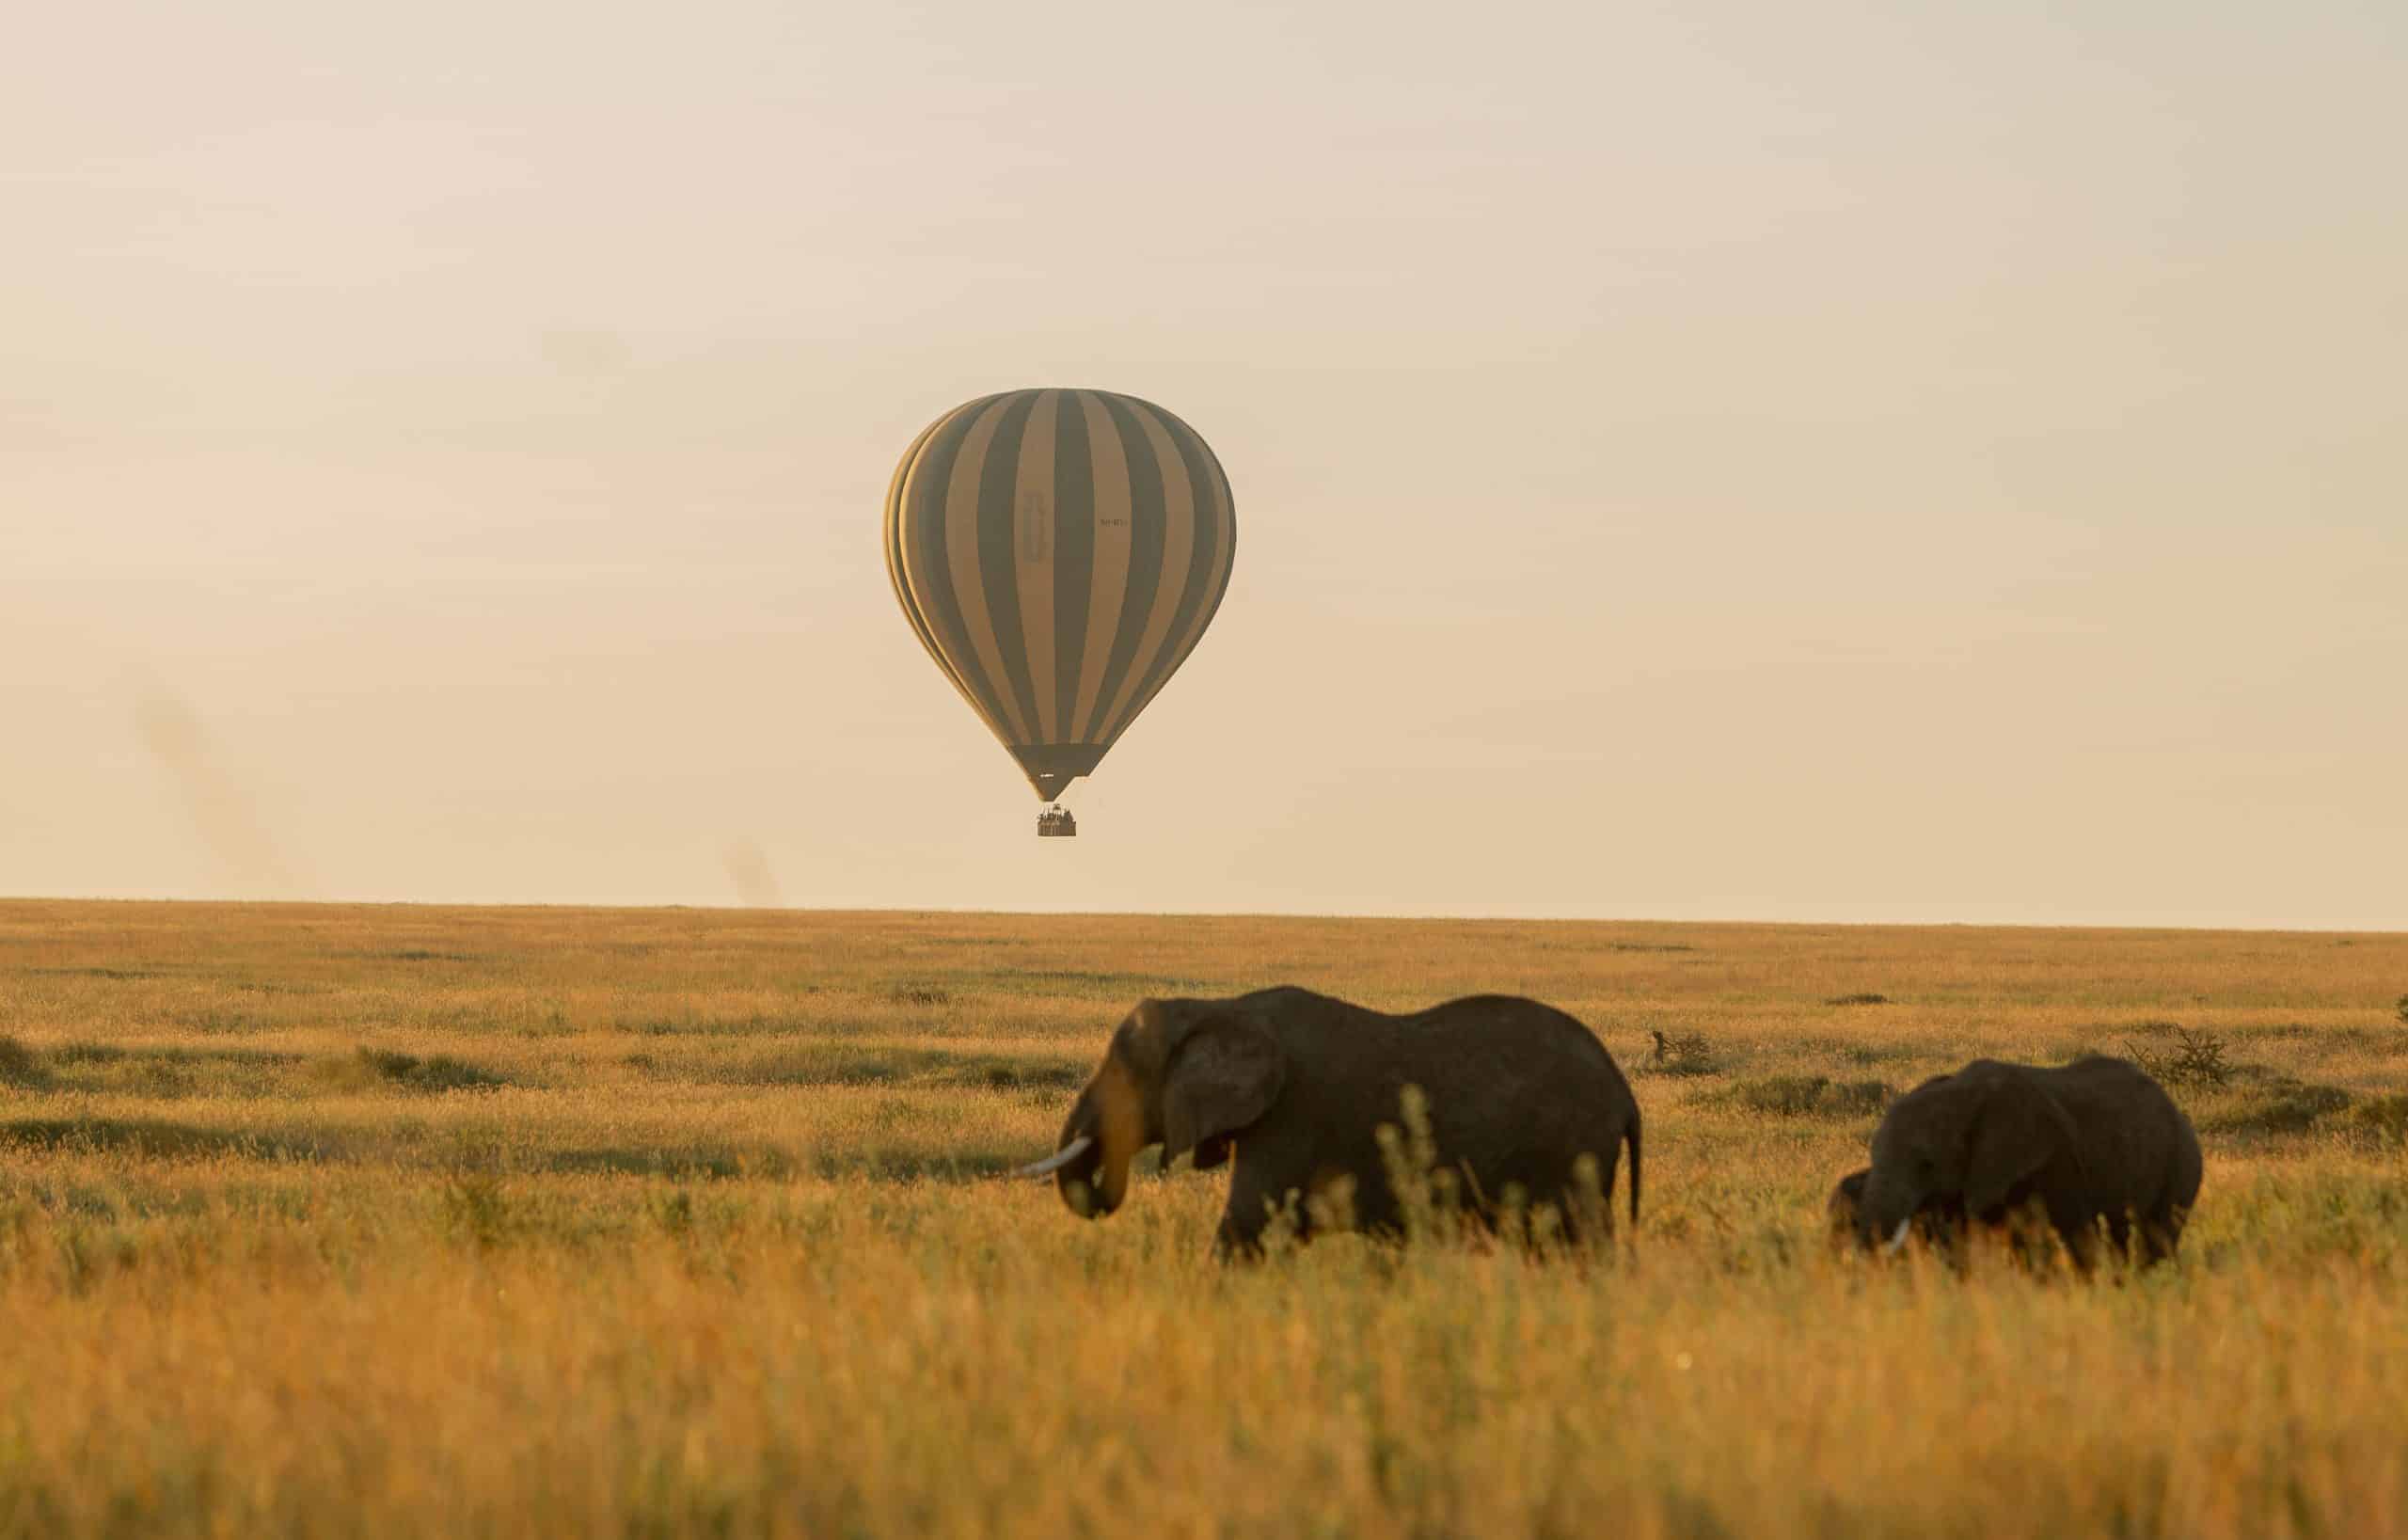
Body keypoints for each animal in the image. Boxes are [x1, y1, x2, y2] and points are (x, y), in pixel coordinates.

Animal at [1006, 983, 1647, 1262]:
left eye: (1125, 1071)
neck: (1223, 1007)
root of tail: (1624, 1093)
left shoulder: (1291, 1117)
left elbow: (1248, 1226)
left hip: (1571, 1151)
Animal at [1859, 1056, 2205, 1272]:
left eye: (1927, 1164)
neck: (1960, 1094)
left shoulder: (2054, 1159)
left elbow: (2061, 1234)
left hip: (2181, 1164)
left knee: (2157, 1234)